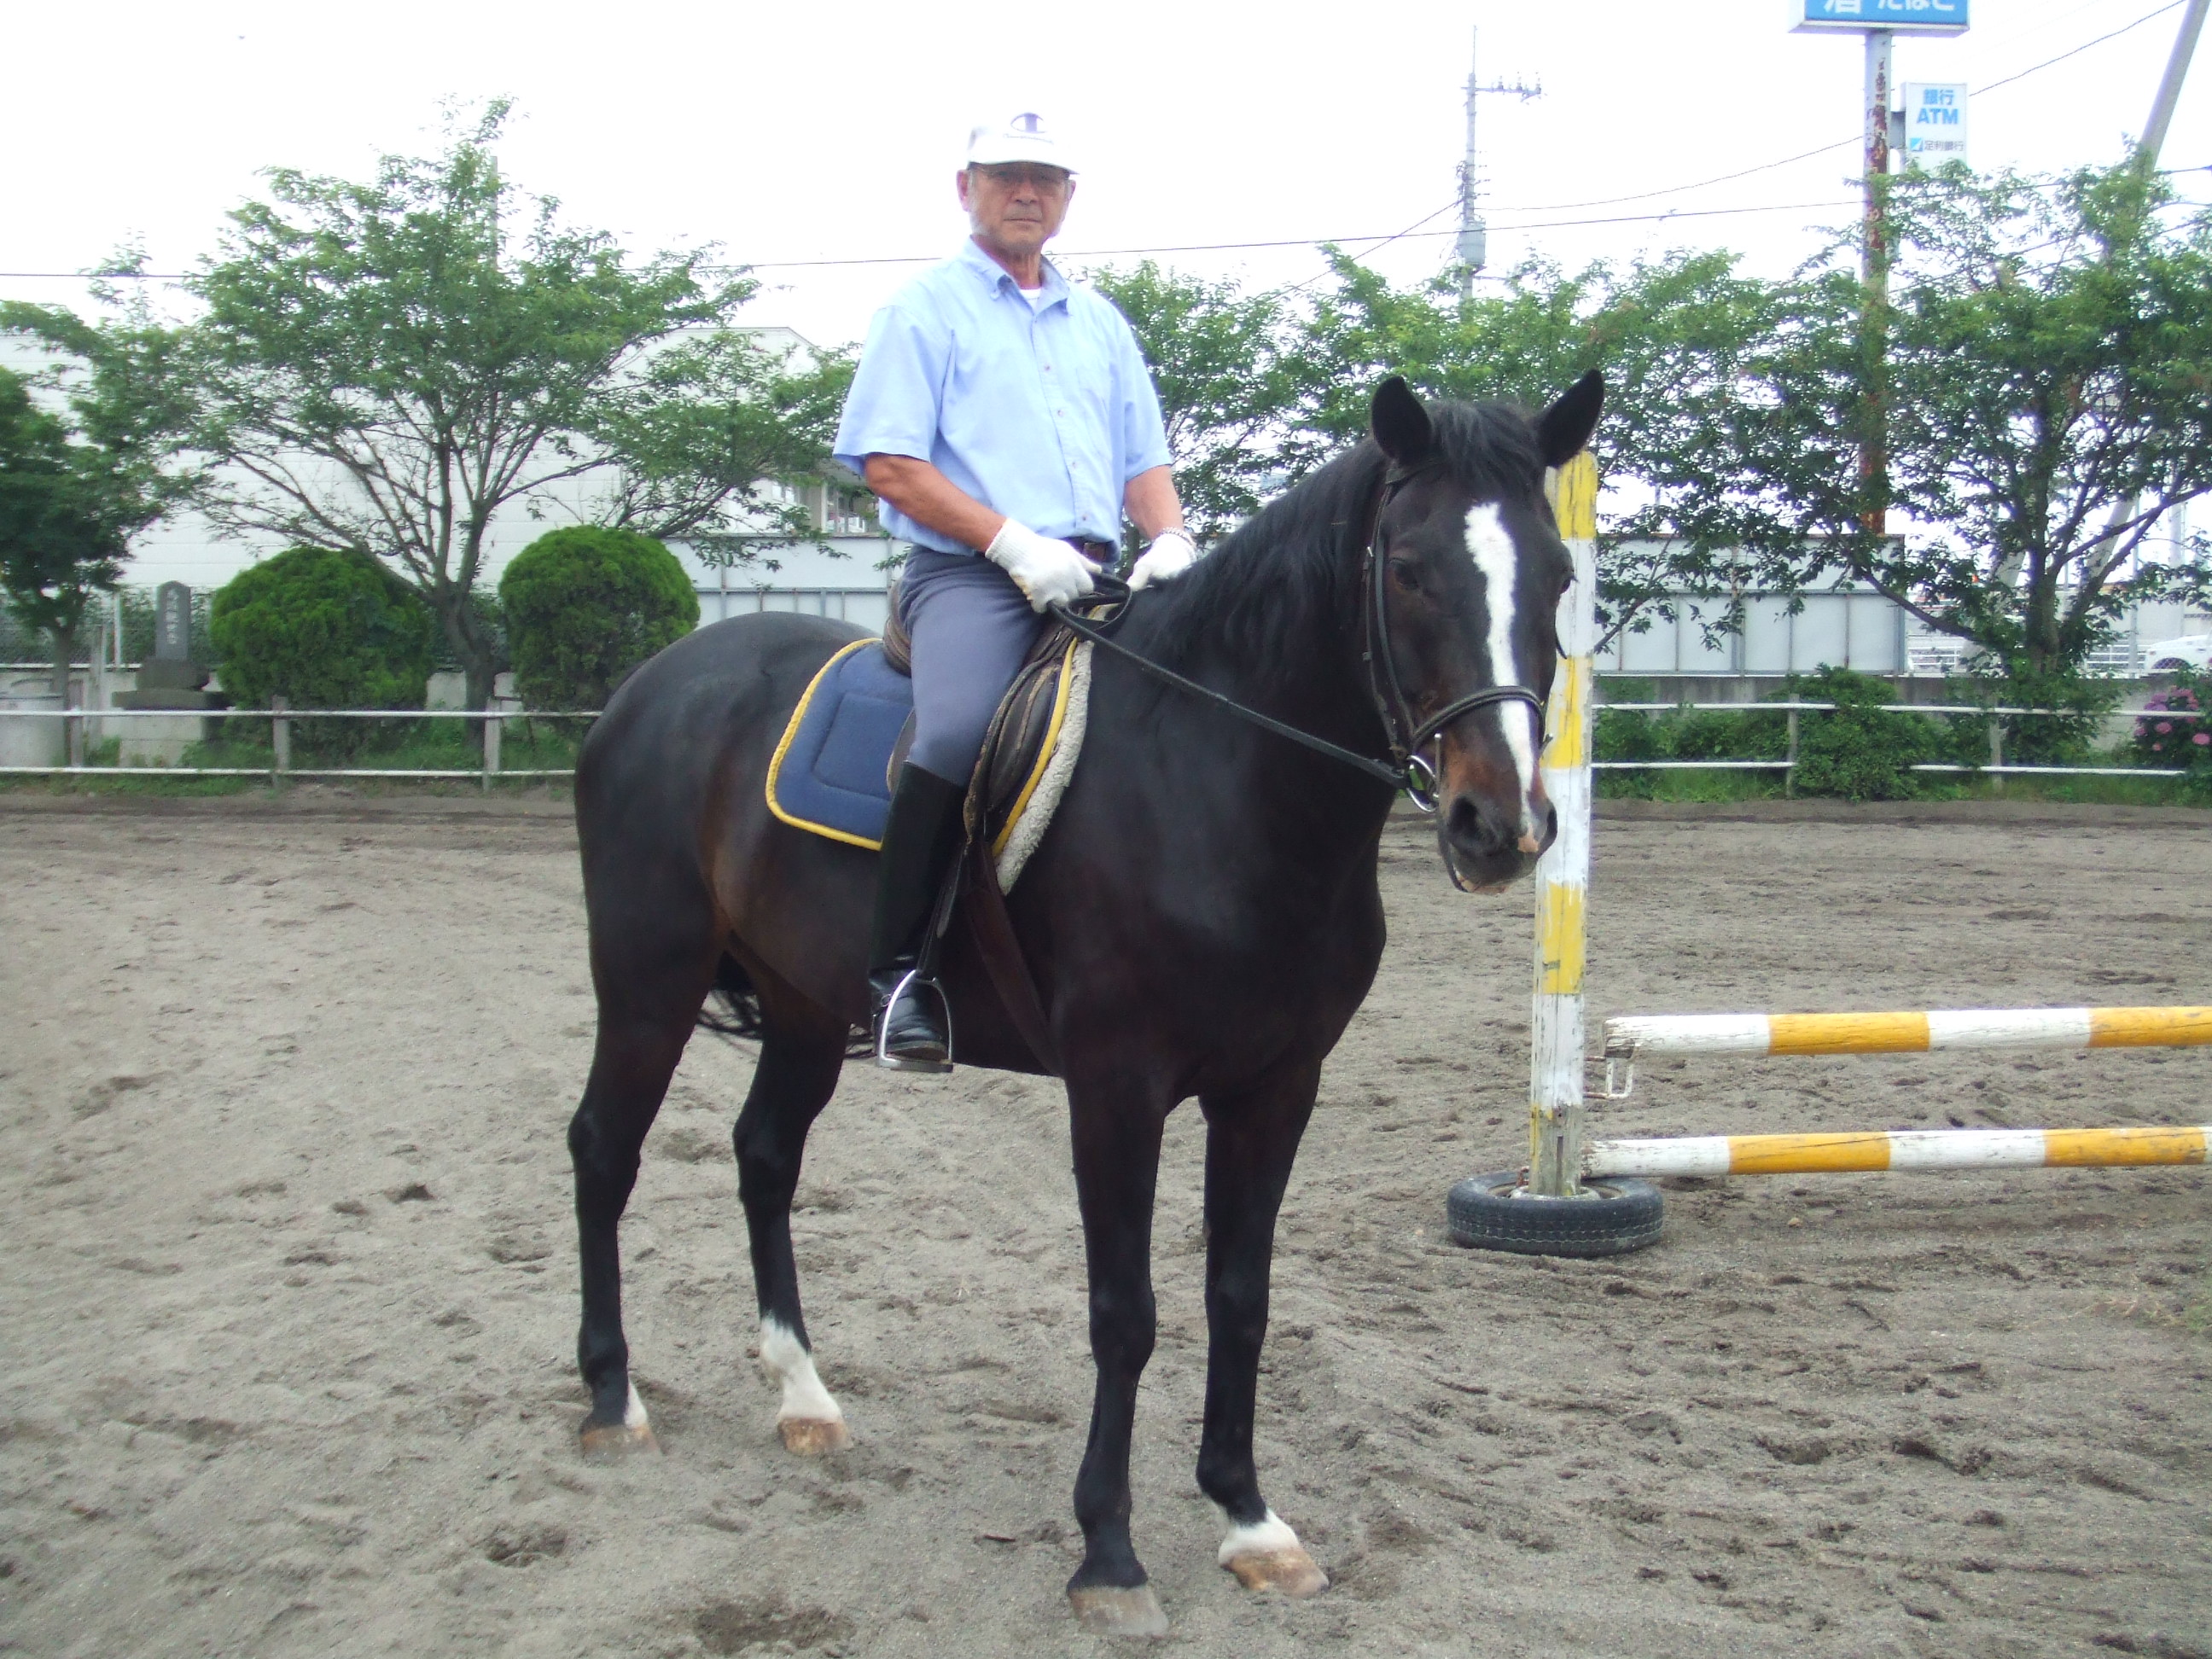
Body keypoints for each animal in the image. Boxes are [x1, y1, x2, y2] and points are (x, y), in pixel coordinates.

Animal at [566, 374, 1610, 1637]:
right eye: (1407, 567)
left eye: (1556, 577)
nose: (1499, 828)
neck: (1221, 779)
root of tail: (655, 683)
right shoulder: (1117, 1086)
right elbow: (1127, 1310)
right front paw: (1108, 1552)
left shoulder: (1276, 1088)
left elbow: (1240, 1295)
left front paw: (1250, 1520)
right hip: (649, 979)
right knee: (604, 1149)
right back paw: (612, 1400)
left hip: (805, 1007)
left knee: (765, 1156)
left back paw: (804, 1396)